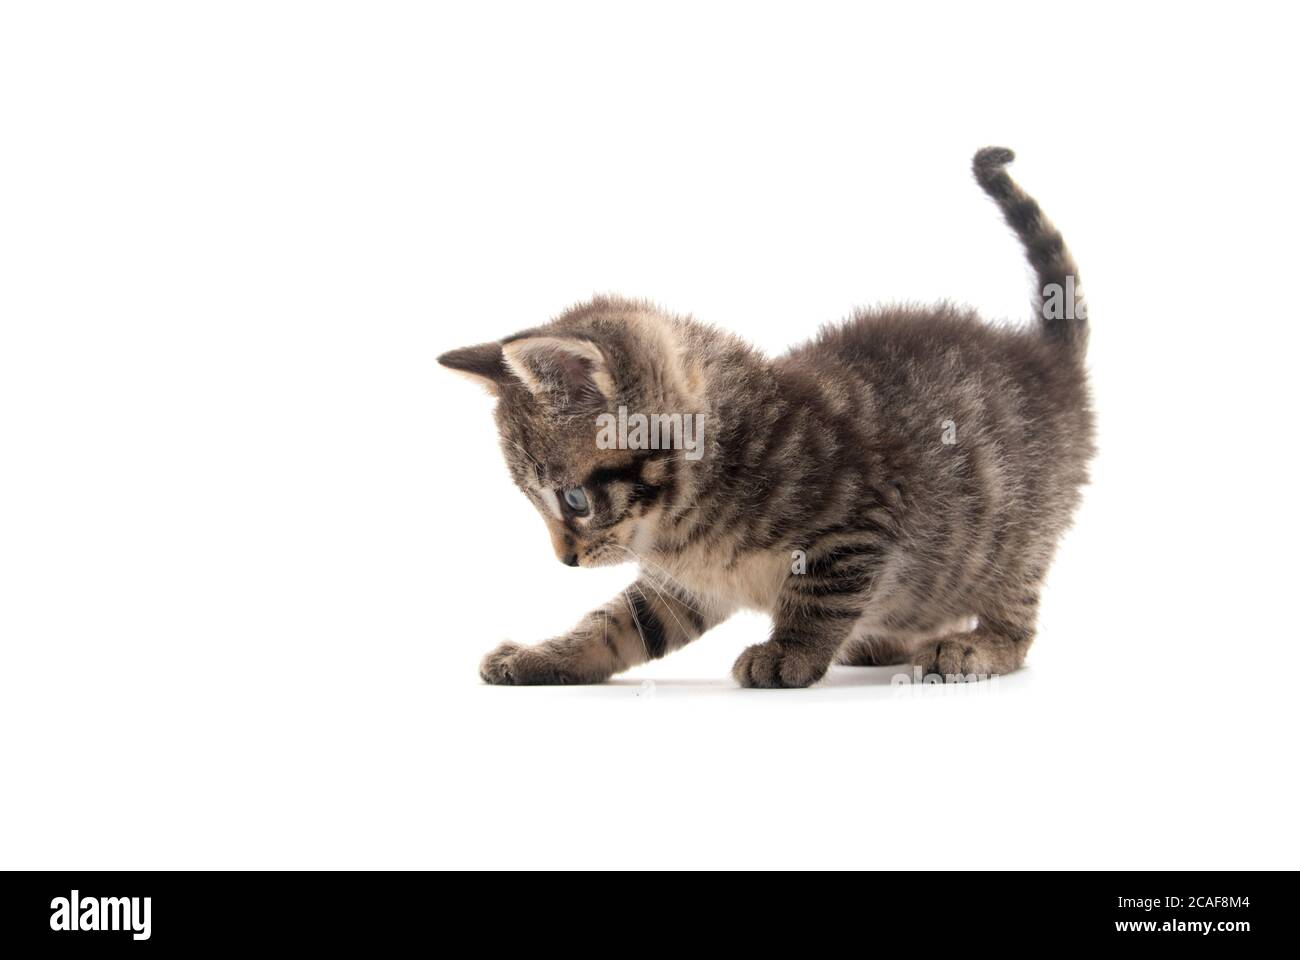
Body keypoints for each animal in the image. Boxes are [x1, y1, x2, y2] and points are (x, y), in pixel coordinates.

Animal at [441, 147, 1092, 681]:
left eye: (574, 500)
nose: (565, 560)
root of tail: (1047, 363)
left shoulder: (862, 520)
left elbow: (824, 594)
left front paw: (790, 652)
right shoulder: (682, 587)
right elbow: (618, 627)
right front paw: (538, 656)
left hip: (1017, 534)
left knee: (1015, 609)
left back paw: (978, 646)